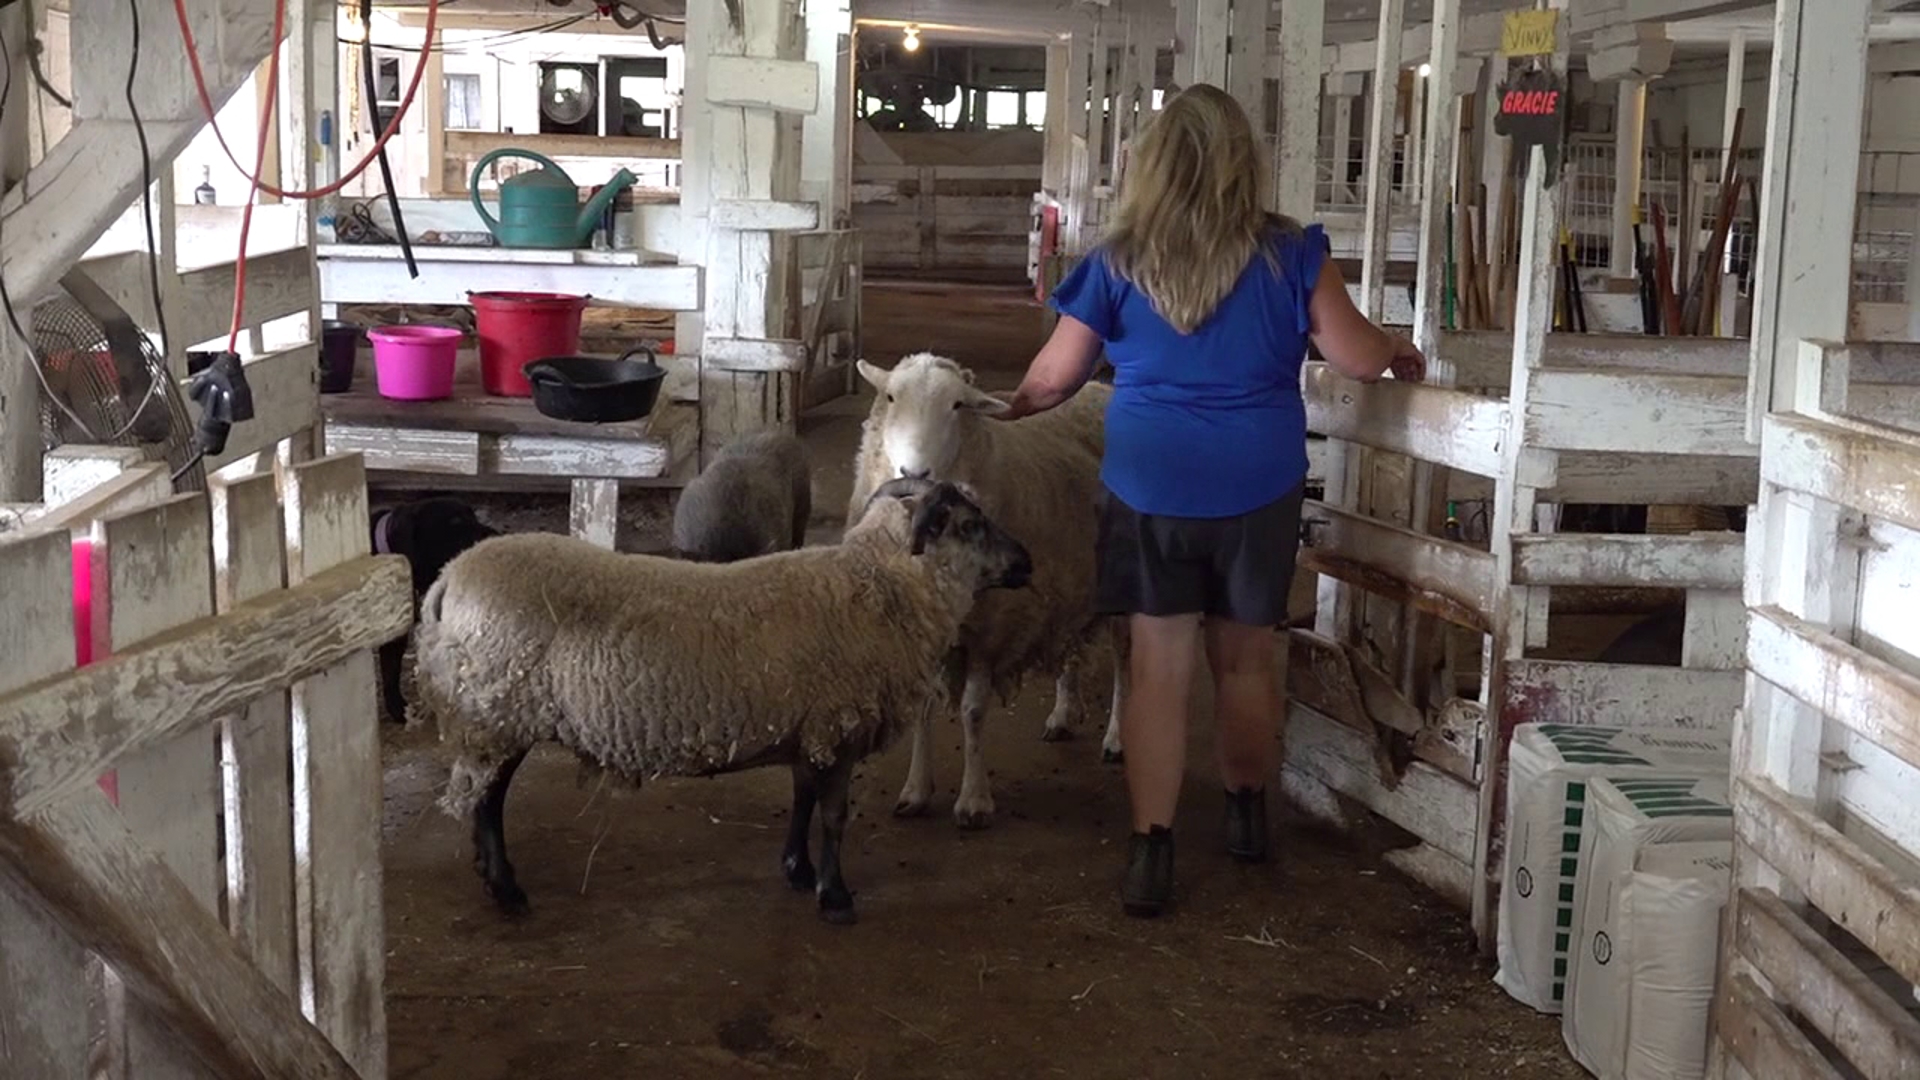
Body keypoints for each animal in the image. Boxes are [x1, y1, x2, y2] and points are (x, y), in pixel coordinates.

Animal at [408, 474, 1036, 922]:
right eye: (970, 523)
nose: (1028, 563)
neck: (880, 584)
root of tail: (448, 575)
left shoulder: (810, 726)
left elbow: (803, 801)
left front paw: (797, 870)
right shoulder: (838, 726)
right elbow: (834, 816)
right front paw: (835, 896)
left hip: (492, 713)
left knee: (483, 797)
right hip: (497, 709)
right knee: (488, 801)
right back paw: (506, 889)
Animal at [844, 351, 1121, 822]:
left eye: (958, 405)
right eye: (891, 397)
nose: (913, 471)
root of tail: (1099, 390)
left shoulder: (992, 630)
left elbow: (972, 712)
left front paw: (974, 798)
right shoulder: (924, 629)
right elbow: (922, 709)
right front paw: (916, 790)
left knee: (1127, 663)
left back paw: (1117, 737)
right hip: (1073, 580)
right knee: (1071, 647)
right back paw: (1063, 714)